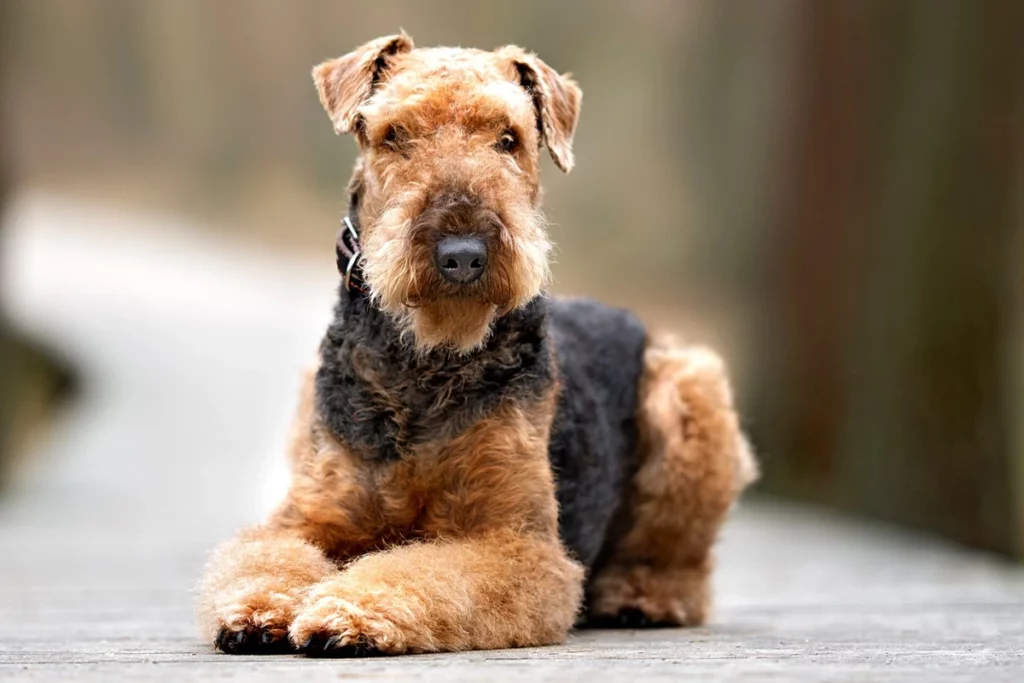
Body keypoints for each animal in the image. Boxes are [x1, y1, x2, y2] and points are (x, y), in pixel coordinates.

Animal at [195, 33, 757, 655]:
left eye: (508, 138)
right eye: (395, 134)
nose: (461, 254)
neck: (425, 362)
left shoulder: (515, 542)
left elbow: (426, 569)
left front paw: (353, 611)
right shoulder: (308, 519)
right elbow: (266, 556)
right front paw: (259, 609)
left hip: (691, 393)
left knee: (682, 565)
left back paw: (639, 595)